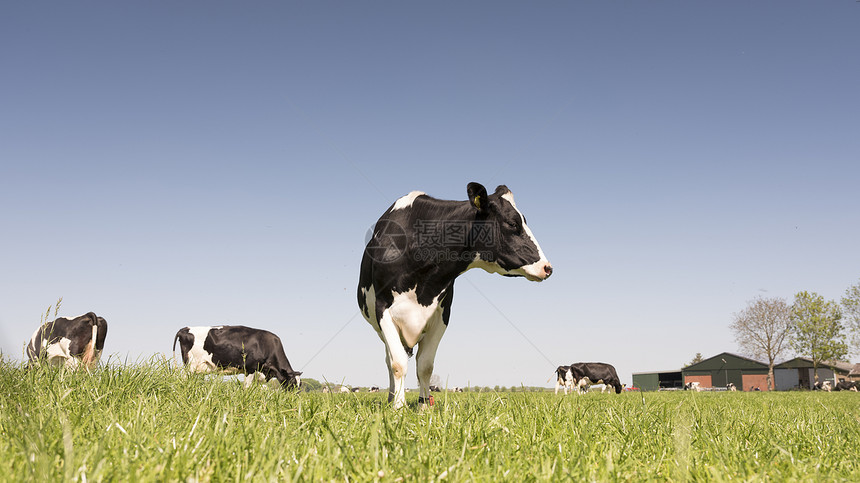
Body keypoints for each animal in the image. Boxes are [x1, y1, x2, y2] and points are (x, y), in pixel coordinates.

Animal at [172, 326, 302, 390]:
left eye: (300, 385)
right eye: (292, 382)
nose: (294, 398)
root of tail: (185, 328)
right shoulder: (250, 368)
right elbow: (247, 388)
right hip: (190, 364)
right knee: (183, 379)